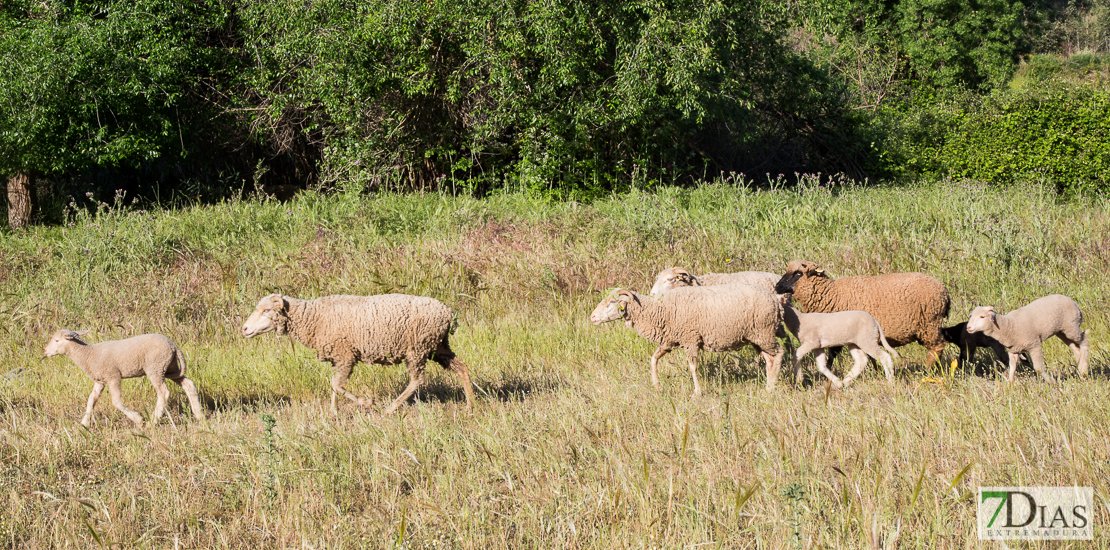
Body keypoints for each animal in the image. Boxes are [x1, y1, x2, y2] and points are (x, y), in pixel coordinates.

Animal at [43, 328, 207, 428]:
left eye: (57, 341)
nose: (45, 351)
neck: (88, 354)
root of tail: (173, 345)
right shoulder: (100, 381)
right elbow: (91, 400)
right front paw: (84, 423)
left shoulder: (113, 376)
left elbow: (116, 401)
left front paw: (139, 419)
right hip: (169, 368)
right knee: (188, 384)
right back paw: (199, 415)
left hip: (155, 367)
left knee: (164, 392)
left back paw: (153, 421)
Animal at [240, 293, 475, 413]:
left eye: (267, 310)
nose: (244, 329)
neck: (312, 318)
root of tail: (448, 313)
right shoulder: (338, 358)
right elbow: (334, 385)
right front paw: (333, 412)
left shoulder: (345, 355)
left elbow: (336, 385)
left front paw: (366, 403)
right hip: (438, 347)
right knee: (462, 368)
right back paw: (471, 404)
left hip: (418, 348)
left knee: (416, 380)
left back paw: (390, 408)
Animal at [586, 286, 785, 393]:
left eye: (612, 302)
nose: (592, 317)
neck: (659, 310)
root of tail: (776, 299)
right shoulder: (669, 341)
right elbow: (653, 359)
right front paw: (657, 386)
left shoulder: (691, 339)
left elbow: (692, 366)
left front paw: (697, 392)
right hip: (757, 337)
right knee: (769, 359)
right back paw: (768, 386)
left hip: (764, 332)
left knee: (779, 353)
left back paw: (773, 387)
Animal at [777, 260, 950, 368]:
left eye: (798, 273)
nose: (777, 287)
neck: (832, 294)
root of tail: (945, 292)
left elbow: (833, 355)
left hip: (930, 323)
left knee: (937, 347)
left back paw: (929, 370)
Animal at [963, 293, 1092, 382]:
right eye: (971, 316)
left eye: (982, 317)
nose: (968, 327)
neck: (1009, 326)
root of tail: (1074, 303)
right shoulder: (1014, 350)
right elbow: (1012, 368)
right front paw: (1010, 385)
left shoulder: (1034, 344)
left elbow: (1038, 368)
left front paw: (1053, 382)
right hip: (1062, 331)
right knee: (1075, 348)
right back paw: (1081, 371)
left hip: (1071, 326)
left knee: (1084, 339)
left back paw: (1084, 369)